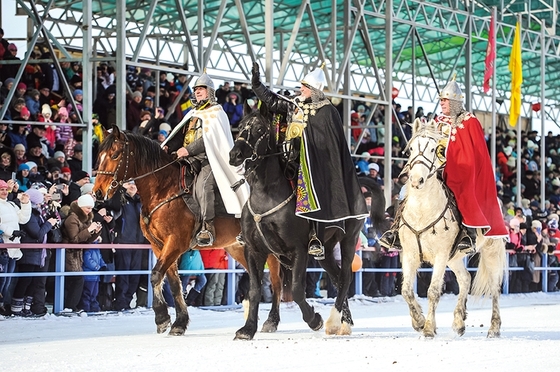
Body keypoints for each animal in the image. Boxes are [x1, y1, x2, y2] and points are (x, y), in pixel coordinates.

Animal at [94, 126, 284, 336]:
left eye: (115, 154)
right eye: (99, 155)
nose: (98, 192)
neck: (163, 189)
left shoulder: (175, 242)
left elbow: (155, 275)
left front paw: (162, 318)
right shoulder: (159, 246)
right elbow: (174, 283)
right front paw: (179, 323)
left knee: (276, 280)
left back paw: (271, 321)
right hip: (237, 246)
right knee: (255, 277)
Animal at [229, 102, 384, 340]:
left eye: (259, 129)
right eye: (240, 126)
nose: (234, 154)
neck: (266, 195)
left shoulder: (298, 250)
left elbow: (296, 290)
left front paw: (314, 319)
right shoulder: (254, 251)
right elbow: (255, 290)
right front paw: (248, 328)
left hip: (349, 241)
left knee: (346, 277)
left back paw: (334, 322)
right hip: (325, 250)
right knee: (337, 278)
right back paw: (345, 321)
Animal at [398, 118, 508, 338]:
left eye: (434, 149)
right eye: (411, 149)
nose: (416, 180)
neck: (422, 210)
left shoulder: (441, 254)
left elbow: (433, 291)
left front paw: (428, 328)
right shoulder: (410, 254)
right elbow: (406, 290)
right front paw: (418, 321)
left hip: (490, 250)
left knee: (494, 287)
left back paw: (494, 327)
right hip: (455, 257)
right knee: (465, 279)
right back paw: (458, 322)